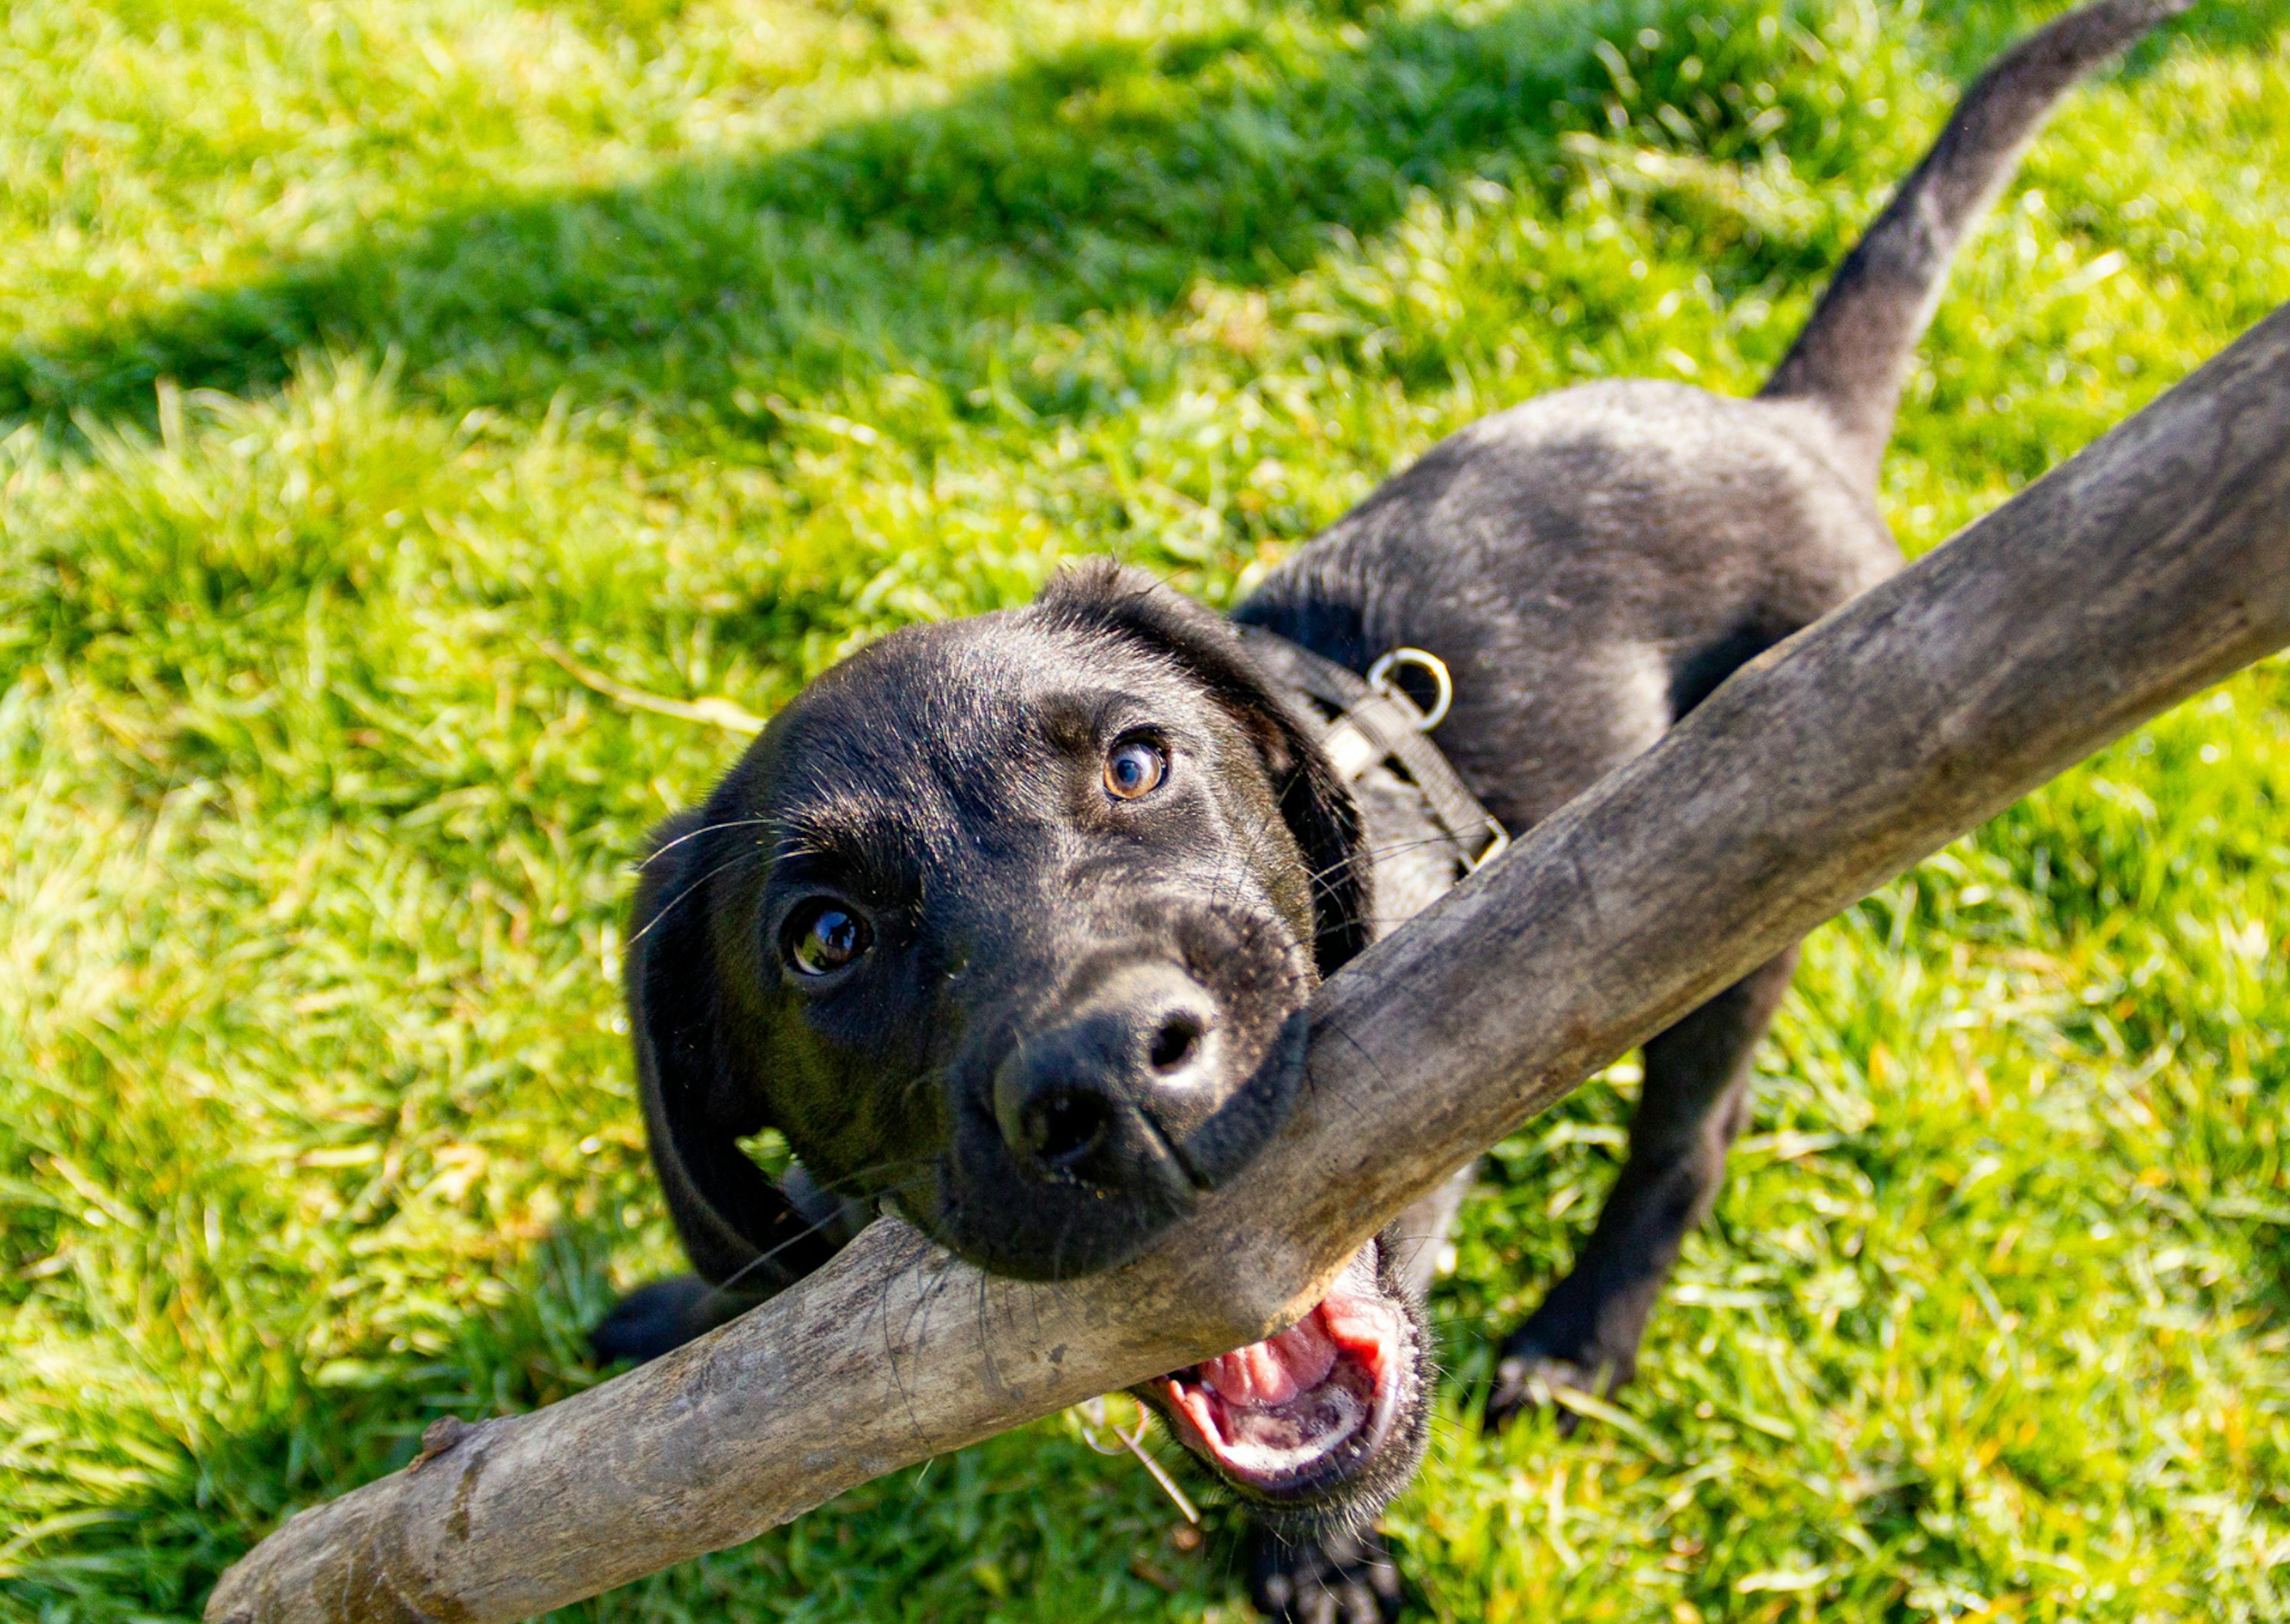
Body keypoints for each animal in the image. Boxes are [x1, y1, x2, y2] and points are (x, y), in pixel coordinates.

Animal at [590, 6, 2180, 1612]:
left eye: (1137, 764)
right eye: (825, 941)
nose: (1111, 1074)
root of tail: (1786, 425)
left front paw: (1325, 1563)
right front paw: (680, 1306)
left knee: (1689, 1131)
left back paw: (1579, 1336)